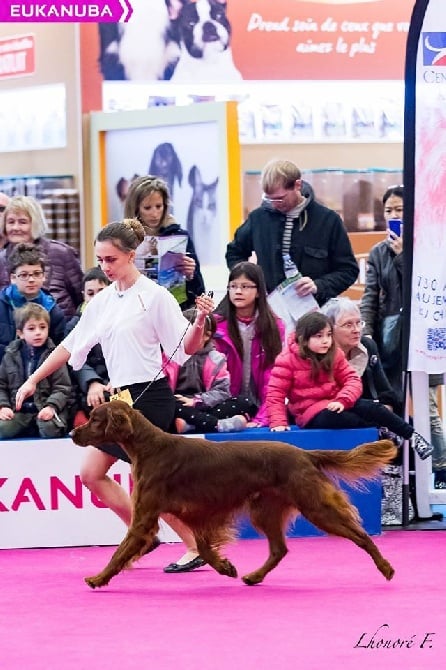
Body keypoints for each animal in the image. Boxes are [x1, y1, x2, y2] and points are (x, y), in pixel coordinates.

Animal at [72, 402, 398, 592]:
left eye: (94, 418)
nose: (74, 433)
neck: (148, 446)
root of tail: (305, 454)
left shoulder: (145, 517)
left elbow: (120, 552)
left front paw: (97, 579)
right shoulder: (197, 513)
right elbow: (204, 548)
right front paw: (225, 567)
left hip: (315, 506)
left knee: (361, 536)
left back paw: (387, 568)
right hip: (264, 510)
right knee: (279, 549)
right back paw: (254, 577)